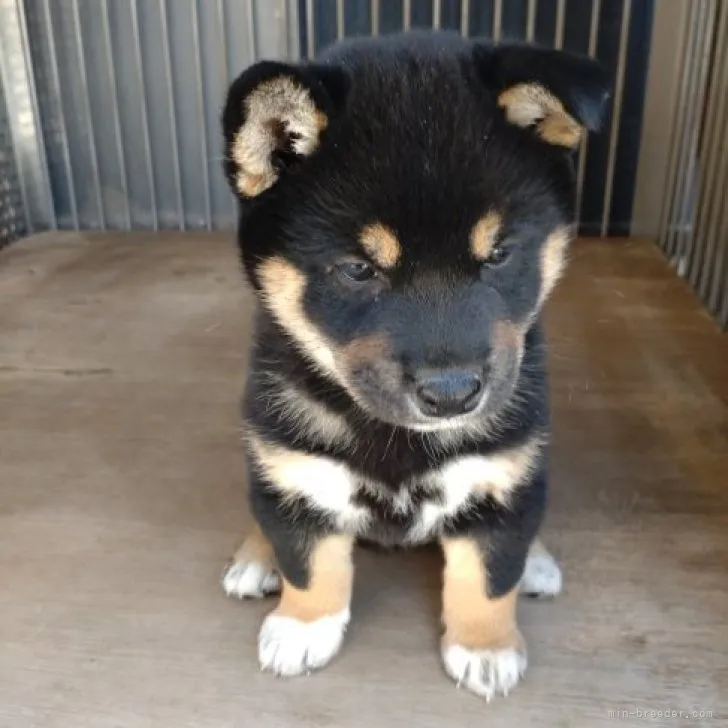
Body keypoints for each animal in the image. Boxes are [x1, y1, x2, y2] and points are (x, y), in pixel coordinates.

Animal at [219, 31, 604, 704]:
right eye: (358, 269)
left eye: (499, 254)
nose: (452, 394)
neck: (394, 440)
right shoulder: (294, 464)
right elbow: (308, 560)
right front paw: (301, 627)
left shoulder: (504, 474)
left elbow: (488, 576)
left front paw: (485, 648)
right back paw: (254, 555)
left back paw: (536, 561)